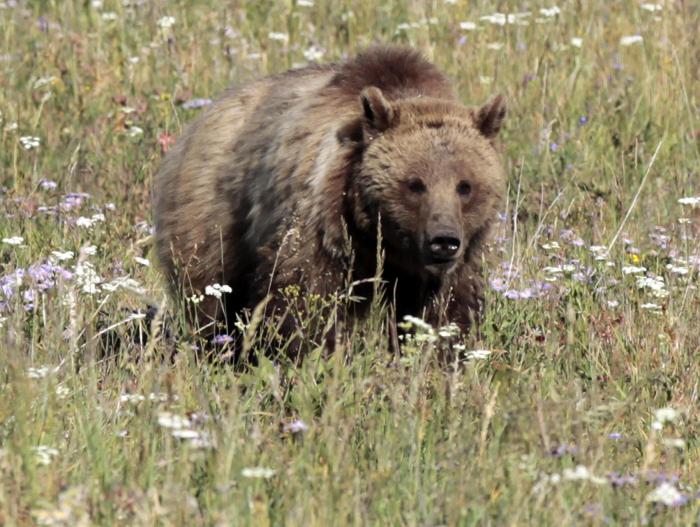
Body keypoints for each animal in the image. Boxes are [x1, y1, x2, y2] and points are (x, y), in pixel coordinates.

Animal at [153, 45, 506, 354]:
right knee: (210, 296)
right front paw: (314, 355)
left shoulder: (452, 264)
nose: (443, 241)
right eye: (415, 184)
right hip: (212, 217)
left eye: (465, 186)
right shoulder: (321, 221)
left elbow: (446, 310)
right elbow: (305, 296)